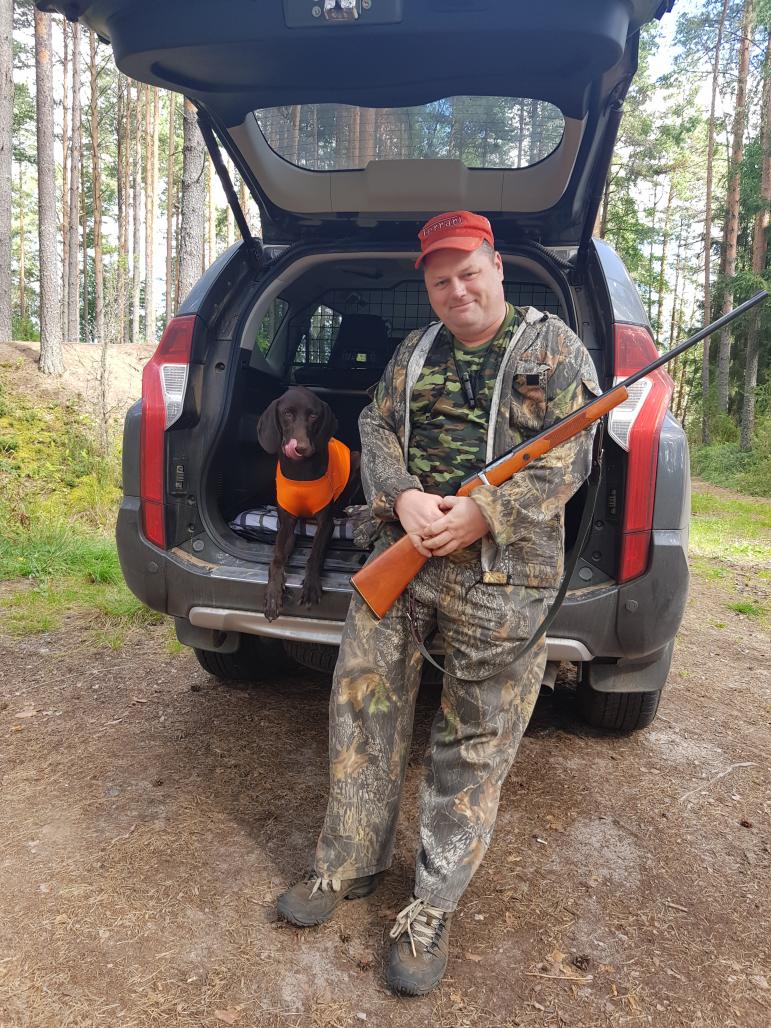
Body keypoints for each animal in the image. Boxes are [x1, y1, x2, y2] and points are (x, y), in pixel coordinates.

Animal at [257, 386, 361, 622]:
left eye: (313, 415)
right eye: (287, 413)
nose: (301, 448)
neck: (301, 473)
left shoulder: (325, 523)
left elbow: (315, 553)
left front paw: (311, 584)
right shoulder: (286, 524)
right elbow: (277, 557)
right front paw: (273, 592)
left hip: (357, 458)